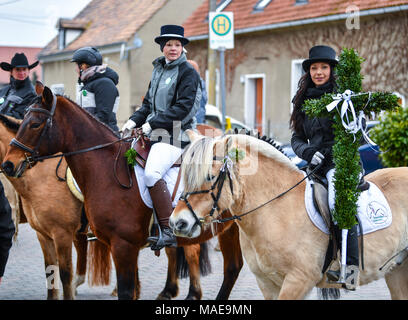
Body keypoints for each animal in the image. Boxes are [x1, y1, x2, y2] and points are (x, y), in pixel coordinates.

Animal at [171, 130, 408, 300]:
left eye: (210, 177)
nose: (178, 223)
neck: (275, 209)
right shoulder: (267, 283)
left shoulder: (298, 281)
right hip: (396, 270)